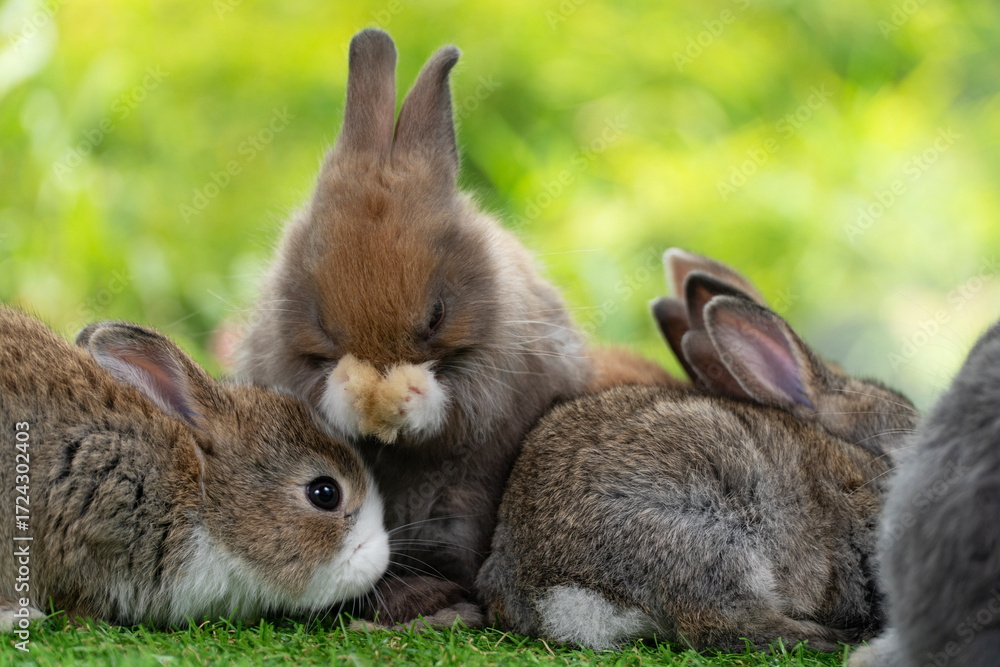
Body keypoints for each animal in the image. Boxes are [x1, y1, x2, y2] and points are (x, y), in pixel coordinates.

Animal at [234, 28, 670, 626]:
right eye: (322, 321)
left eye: (437, 314)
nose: (378, 382)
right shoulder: (283, 360)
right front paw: (353, 391)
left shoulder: (494, 376)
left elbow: (457, 409)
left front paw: (407, 395)